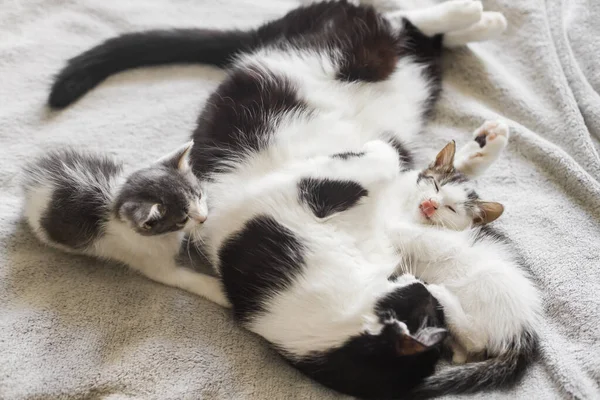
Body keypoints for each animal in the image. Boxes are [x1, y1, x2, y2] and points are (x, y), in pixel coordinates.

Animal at [22, 141, 229, 306]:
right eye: (183, 219)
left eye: (199, 195)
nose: (204, 218)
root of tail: (32, 177)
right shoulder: (148, 258)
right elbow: (183, 278)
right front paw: (221, 292)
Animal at [47, 0, 540, 396]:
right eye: (433, 308)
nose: (425, 285)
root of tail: (263, 34)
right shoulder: (291, 195)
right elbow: (388, 164)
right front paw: (390, 156)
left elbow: (410, 176)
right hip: (352, 53)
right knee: (398, 26)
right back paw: (475, 21)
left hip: (375, 63)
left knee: (406, 30)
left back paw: (479, 31)